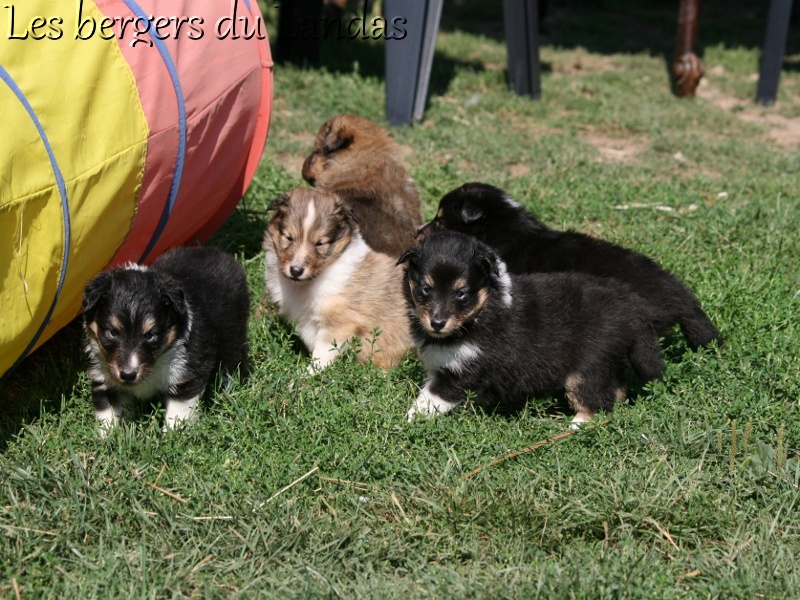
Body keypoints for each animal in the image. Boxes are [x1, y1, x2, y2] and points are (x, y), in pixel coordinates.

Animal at [82, 246, 247, 434]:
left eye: (150, 335)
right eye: (113, 332)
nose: (128, 375)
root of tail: (215, 251)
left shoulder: (188, 373)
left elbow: (178, 411)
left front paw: (174, 435)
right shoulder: (103, 377)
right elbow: (106, 413)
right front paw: (108, 436)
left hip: (234, 333)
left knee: (233, 360)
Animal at [264, 189, 412, 370]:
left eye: (319, 244)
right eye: (288, 238)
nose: (296, 271)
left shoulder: (340, 324)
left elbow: (321, 355)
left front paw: (305, 375)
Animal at [396, 230, 664, 422]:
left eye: (460, 293)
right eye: (426, 288)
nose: (437, 323)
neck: (478, 315)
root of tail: (630, 307)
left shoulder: (464, 370)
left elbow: (428, 400)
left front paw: (407, 422)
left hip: (587, 368)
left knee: (594, 404)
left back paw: (572, 427)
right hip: (606, 362)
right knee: (616, 390)